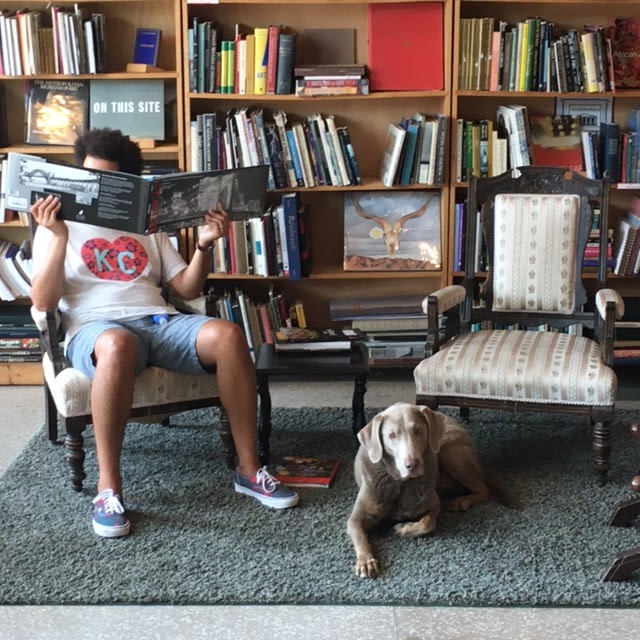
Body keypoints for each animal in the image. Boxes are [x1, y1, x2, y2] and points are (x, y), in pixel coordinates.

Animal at [347, 403, 514, 578]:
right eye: (392, 435)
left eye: (418, 430)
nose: (412, 465)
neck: (402, 484)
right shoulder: (356, 518)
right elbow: (360, 535)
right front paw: (366, 562)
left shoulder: (433, 504)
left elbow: (428, 523)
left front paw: (402, 528)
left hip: (450, 451)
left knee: (482, 488)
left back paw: (462, 501)